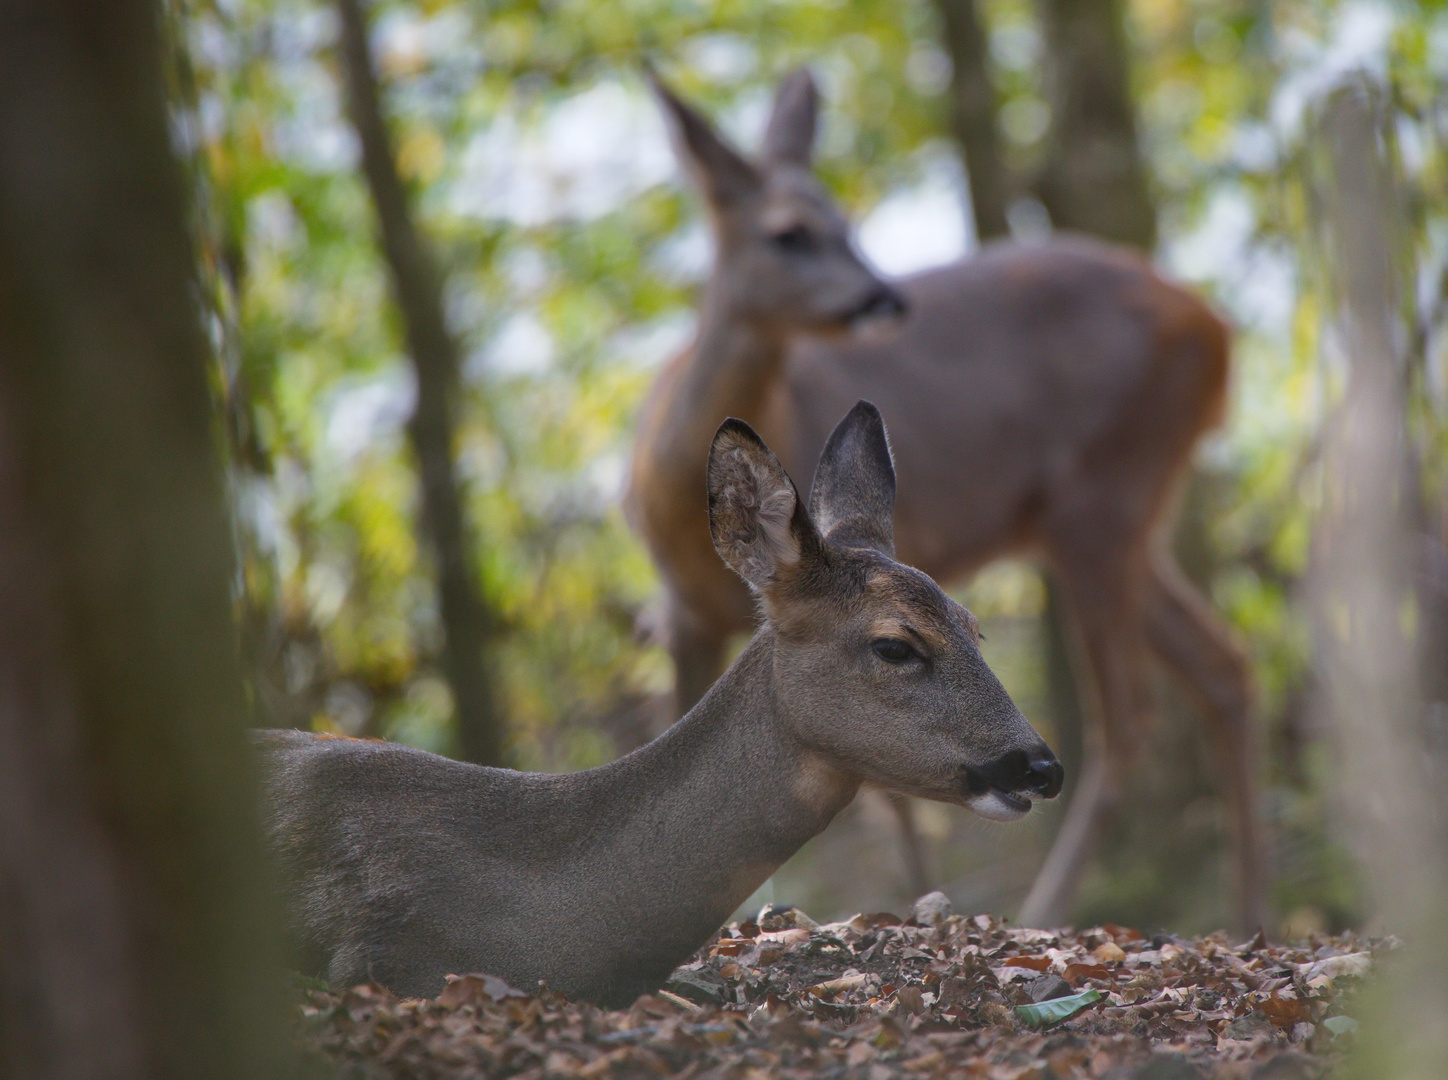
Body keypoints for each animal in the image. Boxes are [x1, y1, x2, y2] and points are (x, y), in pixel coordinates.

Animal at [628, 65, 1262, 926]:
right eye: (789, 232)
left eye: (848, 220)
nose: (881, 298)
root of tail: (1217, 326)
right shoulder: (685, 616)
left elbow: (885, 788)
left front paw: (914, 895)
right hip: (1098, 521)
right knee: (1221, 664)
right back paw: (1251, 912)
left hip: (1106, 497)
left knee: (1130, 710)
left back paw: (1048, 905)